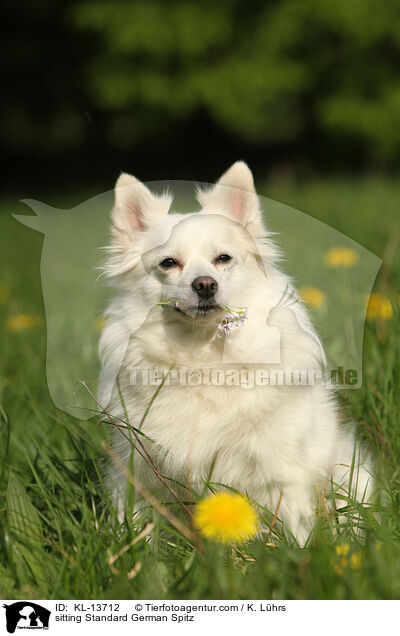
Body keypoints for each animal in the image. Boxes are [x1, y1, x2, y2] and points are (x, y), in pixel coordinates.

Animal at [99, 161, 372, 544]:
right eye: (168, 263)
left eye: (223, 259)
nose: (205, 284)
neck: (201, 353)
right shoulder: (135, 465)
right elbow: (135, 522)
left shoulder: (279, 467)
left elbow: (295, 525)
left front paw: (298, 553)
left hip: (351, 472)